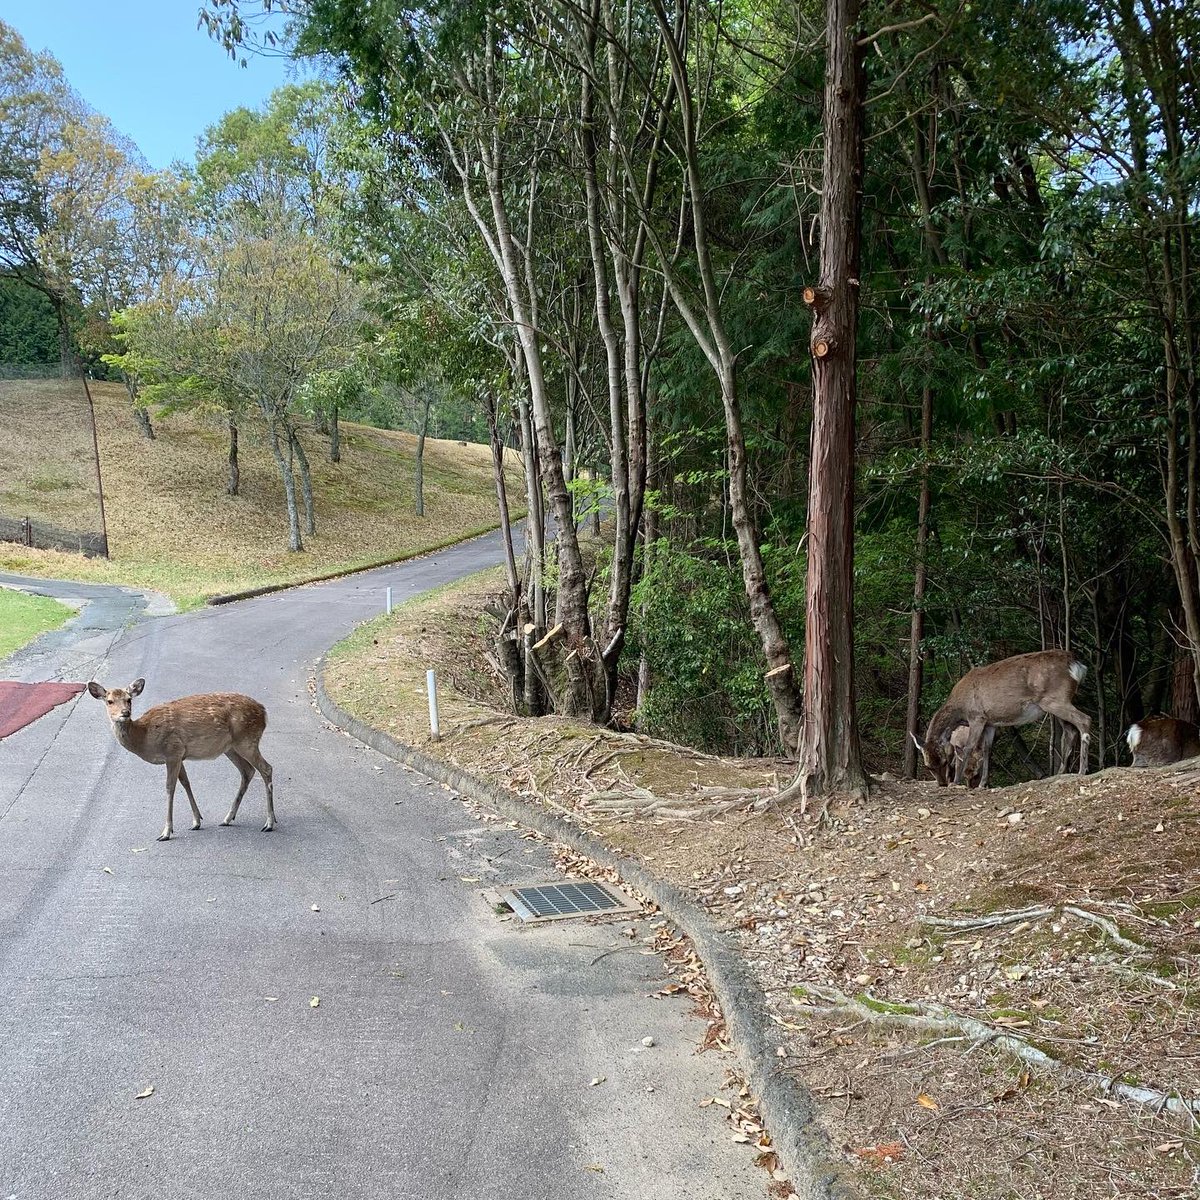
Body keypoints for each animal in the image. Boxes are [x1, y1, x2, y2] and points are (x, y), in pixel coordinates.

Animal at [88, 679, 275, 841]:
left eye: (129, 699)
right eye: (109, 701)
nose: (125, 713)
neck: (145, 737)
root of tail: (264, 712)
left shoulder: (173, 750)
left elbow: (170, 788)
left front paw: (166, 832)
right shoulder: (179, 755)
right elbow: (186, 782)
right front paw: (196, 821)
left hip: (247, 739)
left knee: (266, 768)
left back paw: (269, 823)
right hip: (230, 747)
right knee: (248, 771)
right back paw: (228, 818)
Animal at [912, 649, 1090, 788]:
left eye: (944, 762)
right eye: (928, 766)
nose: (942, 783)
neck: (960, 710)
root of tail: (1076, 665)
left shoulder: (976, 716)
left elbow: (968, 747)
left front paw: (956, 781)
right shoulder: (990, 722)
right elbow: (987, 749)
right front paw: (983, 784)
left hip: (1056, 699)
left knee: (1085, 719)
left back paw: (1082, 770)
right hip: (1057, 703)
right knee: (1070, 731)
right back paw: (1061, 772)